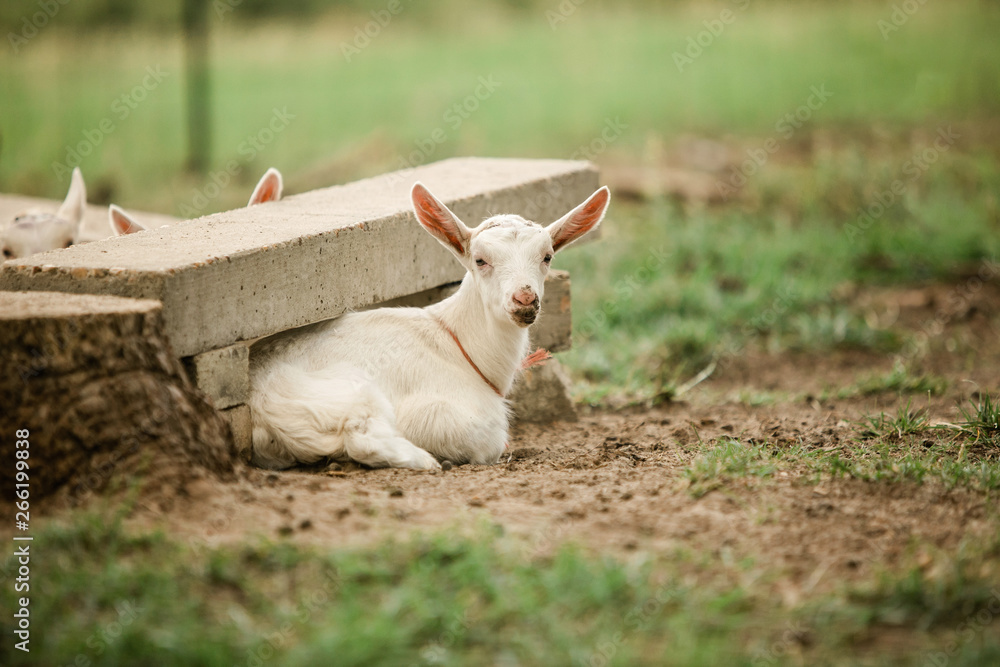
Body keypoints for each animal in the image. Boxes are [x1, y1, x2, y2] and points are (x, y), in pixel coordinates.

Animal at [249, 182, 610, 470]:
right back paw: (427, 461)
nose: (524, 299)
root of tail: (260, 413)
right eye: (480, 260)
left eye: (547, 256)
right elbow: (488, 442)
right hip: (351, 394)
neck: (458, 343)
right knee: (362, 438)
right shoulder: (450, 413)